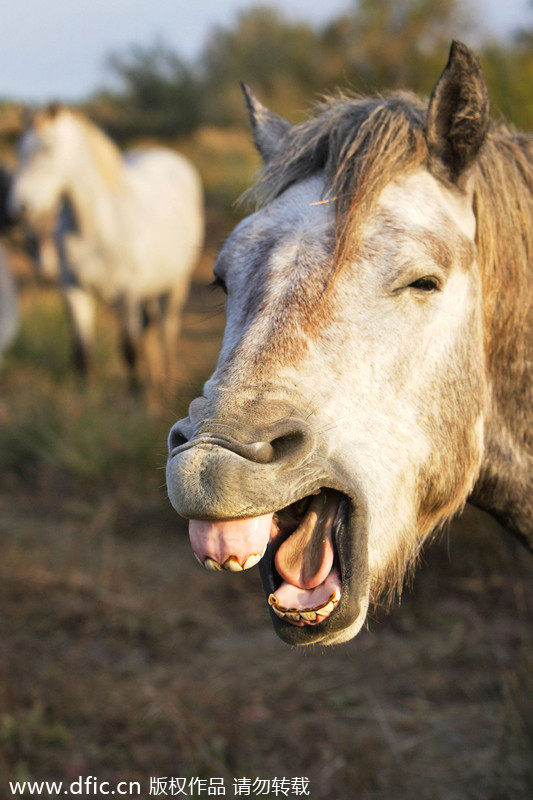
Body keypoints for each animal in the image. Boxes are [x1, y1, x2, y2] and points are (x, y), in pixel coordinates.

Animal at [8, 107, 204, 388]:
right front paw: (85, 394)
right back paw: (155, 376)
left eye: (47, 148)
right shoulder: (74, 291)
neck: (98, 227)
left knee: (166, 330)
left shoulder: (128, 294)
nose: (16, 210)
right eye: (18, 149)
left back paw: (166, 381)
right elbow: (83, 351)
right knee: (150, 325)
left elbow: (130, 349)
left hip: (177, 284)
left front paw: (136, 395)